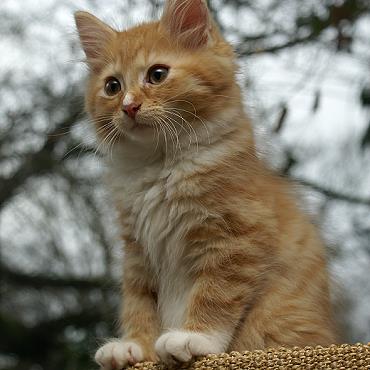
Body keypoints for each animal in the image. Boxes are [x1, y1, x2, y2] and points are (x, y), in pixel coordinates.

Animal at [73, 1, 336, 368]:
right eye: (112, 86)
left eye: (157, 74)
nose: (129, 106)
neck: (160, 166)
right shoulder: (137, 251)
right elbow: (139, 301)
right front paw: (135, 345)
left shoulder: (238, 237)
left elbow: (216, 294)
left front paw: (195, 337)